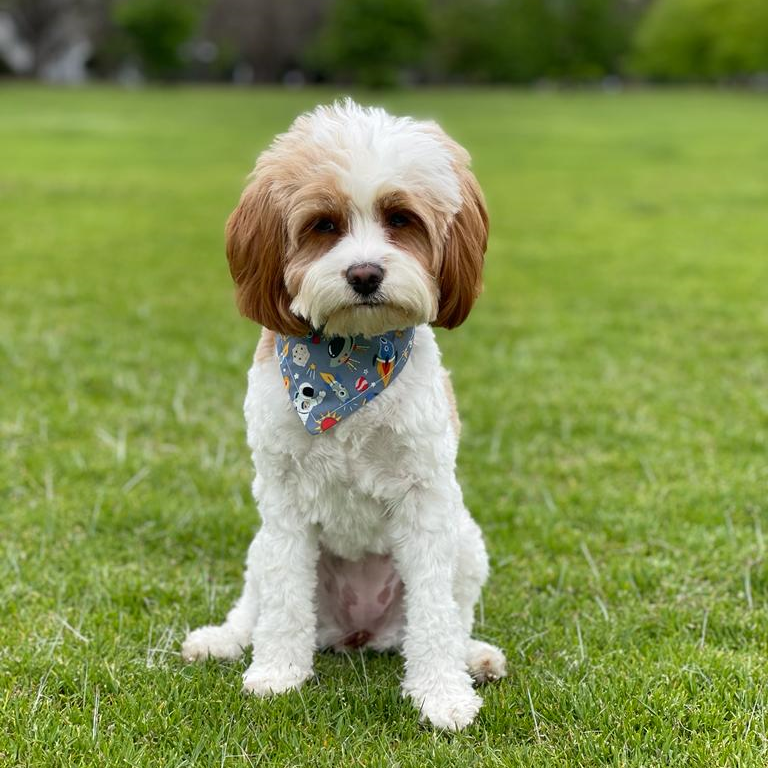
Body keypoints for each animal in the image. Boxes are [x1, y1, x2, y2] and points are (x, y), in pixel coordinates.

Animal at [182, 99, 508, 728]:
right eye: (323, 225)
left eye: (400, 218)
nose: (364, 274)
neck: (345, 368)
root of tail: (358, 632)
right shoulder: (282, 498)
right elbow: (284, 597)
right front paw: (277, 672)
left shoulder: (426, 497)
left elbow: (434, 610)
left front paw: (442, 694)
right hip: (260, 545)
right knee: (255, 602)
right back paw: (224, 640)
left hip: (466, 540)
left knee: (450, 615)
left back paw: (471, 656)